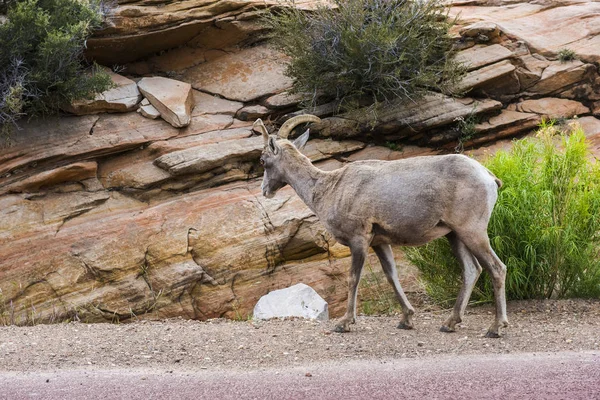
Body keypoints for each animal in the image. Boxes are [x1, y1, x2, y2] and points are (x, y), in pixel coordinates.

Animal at [253, 114, 510, 336]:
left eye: (263, 161)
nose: (265, 191)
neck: (327, 189)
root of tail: (489, 177)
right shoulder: (380, 243)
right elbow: (391, 276)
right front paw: (406, 320)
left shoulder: (359, 240)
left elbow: (353, 278)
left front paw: (344, 323)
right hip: (455, 235)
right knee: (471, 270)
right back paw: (449, 324)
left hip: (472, 232)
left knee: (496, 268)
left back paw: (495, 328)